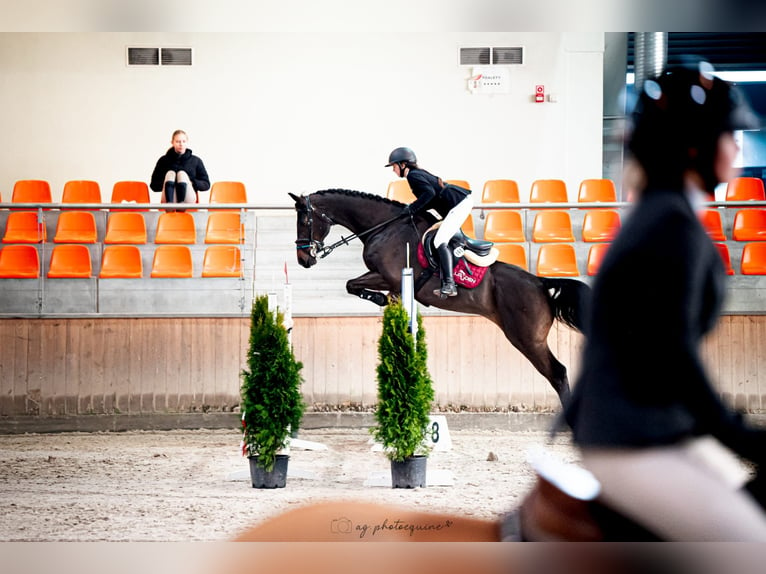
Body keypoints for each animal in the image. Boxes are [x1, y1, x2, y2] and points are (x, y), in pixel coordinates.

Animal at [292, 189, 592, 404]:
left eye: (305, 220)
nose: (304, 260)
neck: (383, 227)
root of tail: (541, 283)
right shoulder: (392, 281)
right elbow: (353, 285)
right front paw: (386, 302)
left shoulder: (387, 275)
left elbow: (351, 284)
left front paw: (379, 299)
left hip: (527, 338)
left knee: (558, 374)